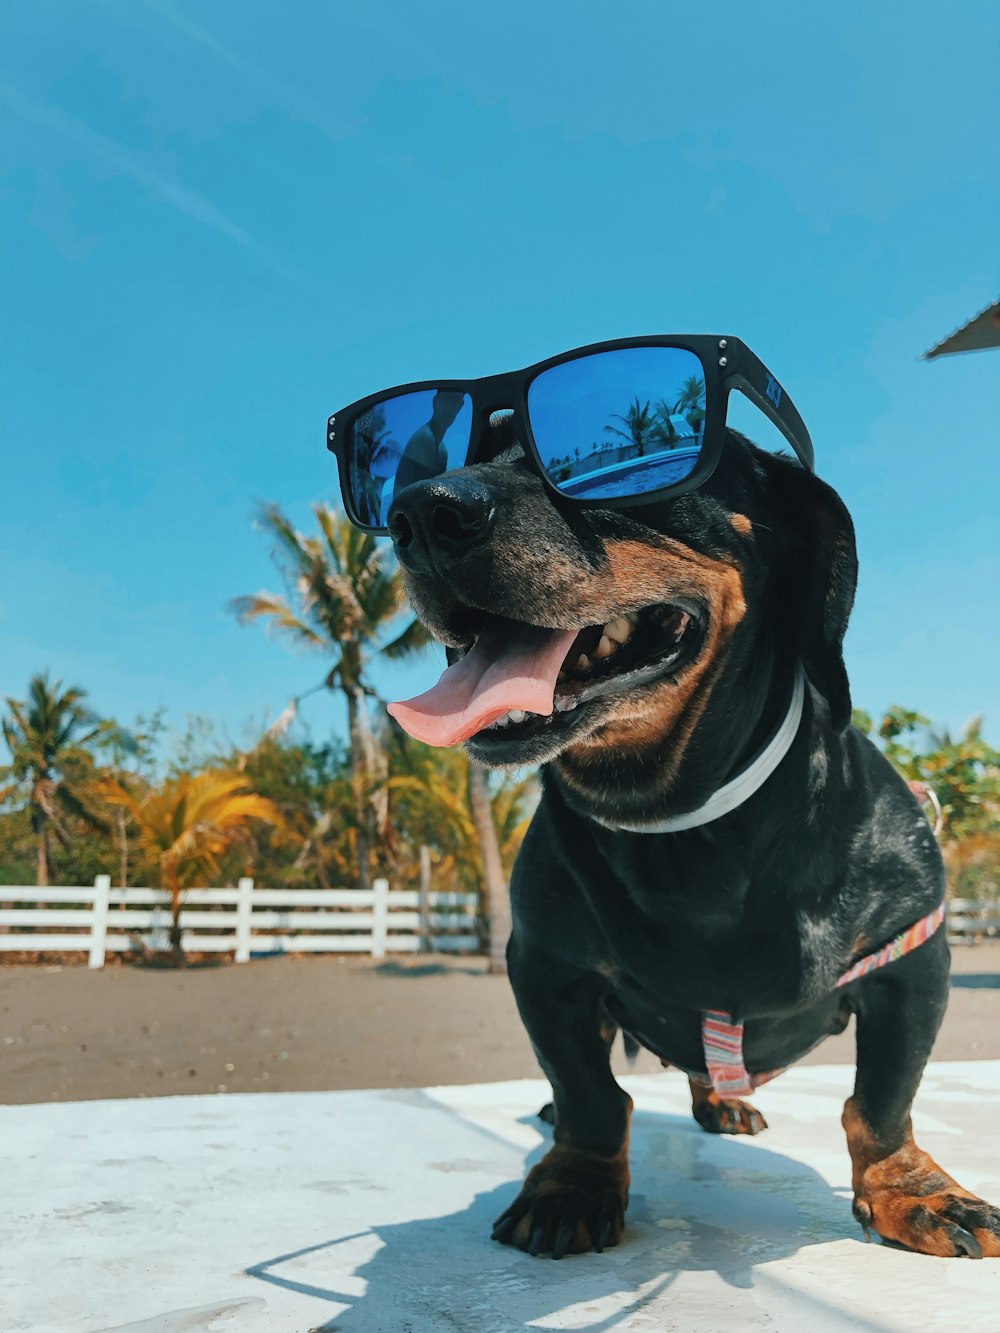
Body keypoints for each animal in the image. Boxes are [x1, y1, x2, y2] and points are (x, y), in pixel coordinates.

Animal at [386, 426, 1000, 1258]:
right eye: (462, 453)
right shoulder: (545, 966)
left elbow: (882, 1099)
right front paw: (573, 1182)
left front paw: (914, 1190)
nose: (418, 514)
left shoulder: (914, 960)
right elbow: (588, 1092)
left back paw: (723, 1102)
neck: (682, 821)